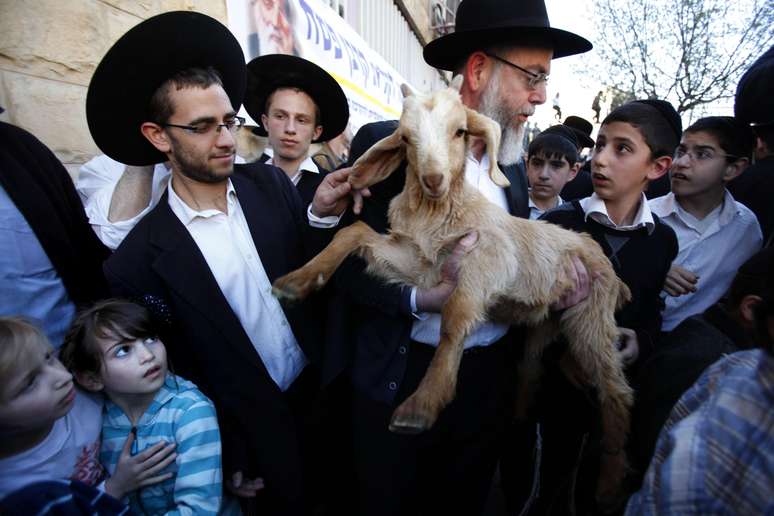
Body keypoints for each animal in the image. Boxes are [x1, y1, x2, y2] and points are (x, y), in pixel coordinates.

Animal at [272, 76, 636, 504]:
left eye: (460, 131)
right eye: (406, 137)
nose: (433, 180)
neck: (438, 212)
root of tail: (609, 268)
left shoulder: (487, 259)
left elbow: (455, 316)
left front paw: (422, 404)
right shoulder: (418, 265)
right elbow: (353, 231)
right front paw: (297, 282)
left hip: (590, 313)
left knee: (616, 391)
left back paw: (609, 480)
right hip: (551, 320)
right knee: (542, 365)